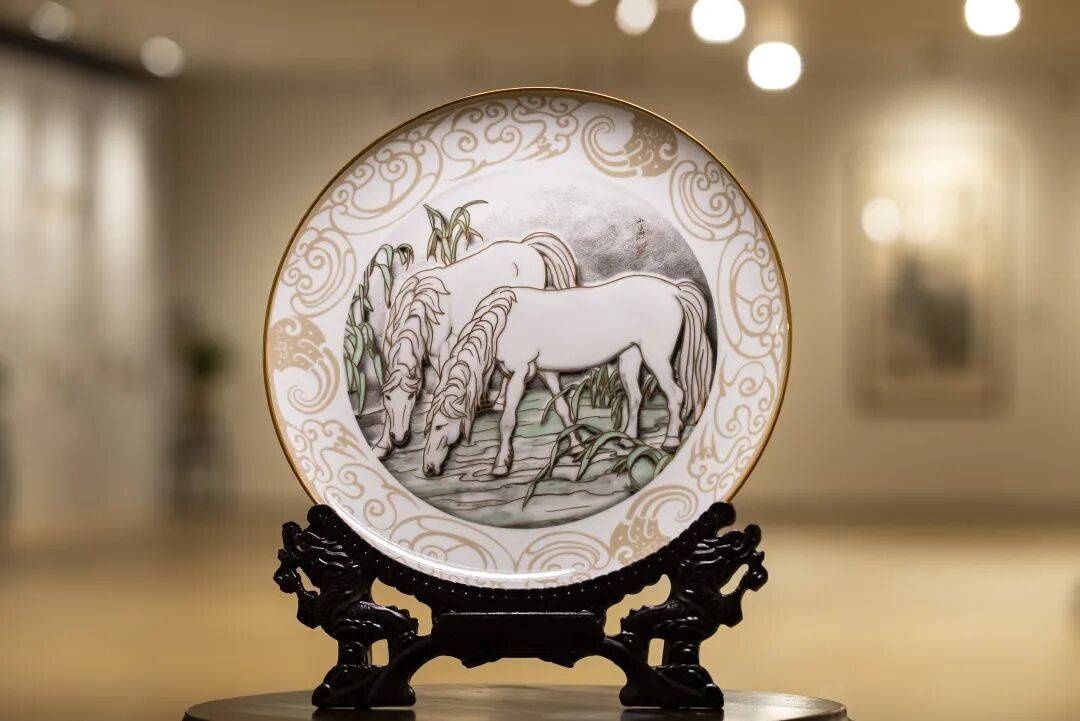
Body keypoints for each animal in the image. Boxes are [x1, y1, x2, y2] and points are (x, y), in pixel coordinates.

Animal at [372, 232, 577, 458]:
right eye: (387, 398)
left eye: (411, 396)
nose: (399, 438)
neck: (422, 305)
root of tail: (526, 246)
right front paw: (382, 446)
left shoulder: (441, 354)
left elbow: (443, 384)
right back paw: (499, 402)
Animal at [421, 274, 714, 478]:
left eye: (439, 426)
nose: (428, 469)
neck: (505, 322)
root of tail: (674, 290)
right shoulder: (545, 372)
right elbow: (563, 409)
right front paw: (576, 447)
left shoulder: (519, 374)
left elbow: (506, 421)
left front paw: (501, 464)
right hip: (630, 357)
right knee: (635, 397)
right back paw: (627, 441)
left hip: (656, 358)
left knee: (675, 394)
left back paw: (671, 441)